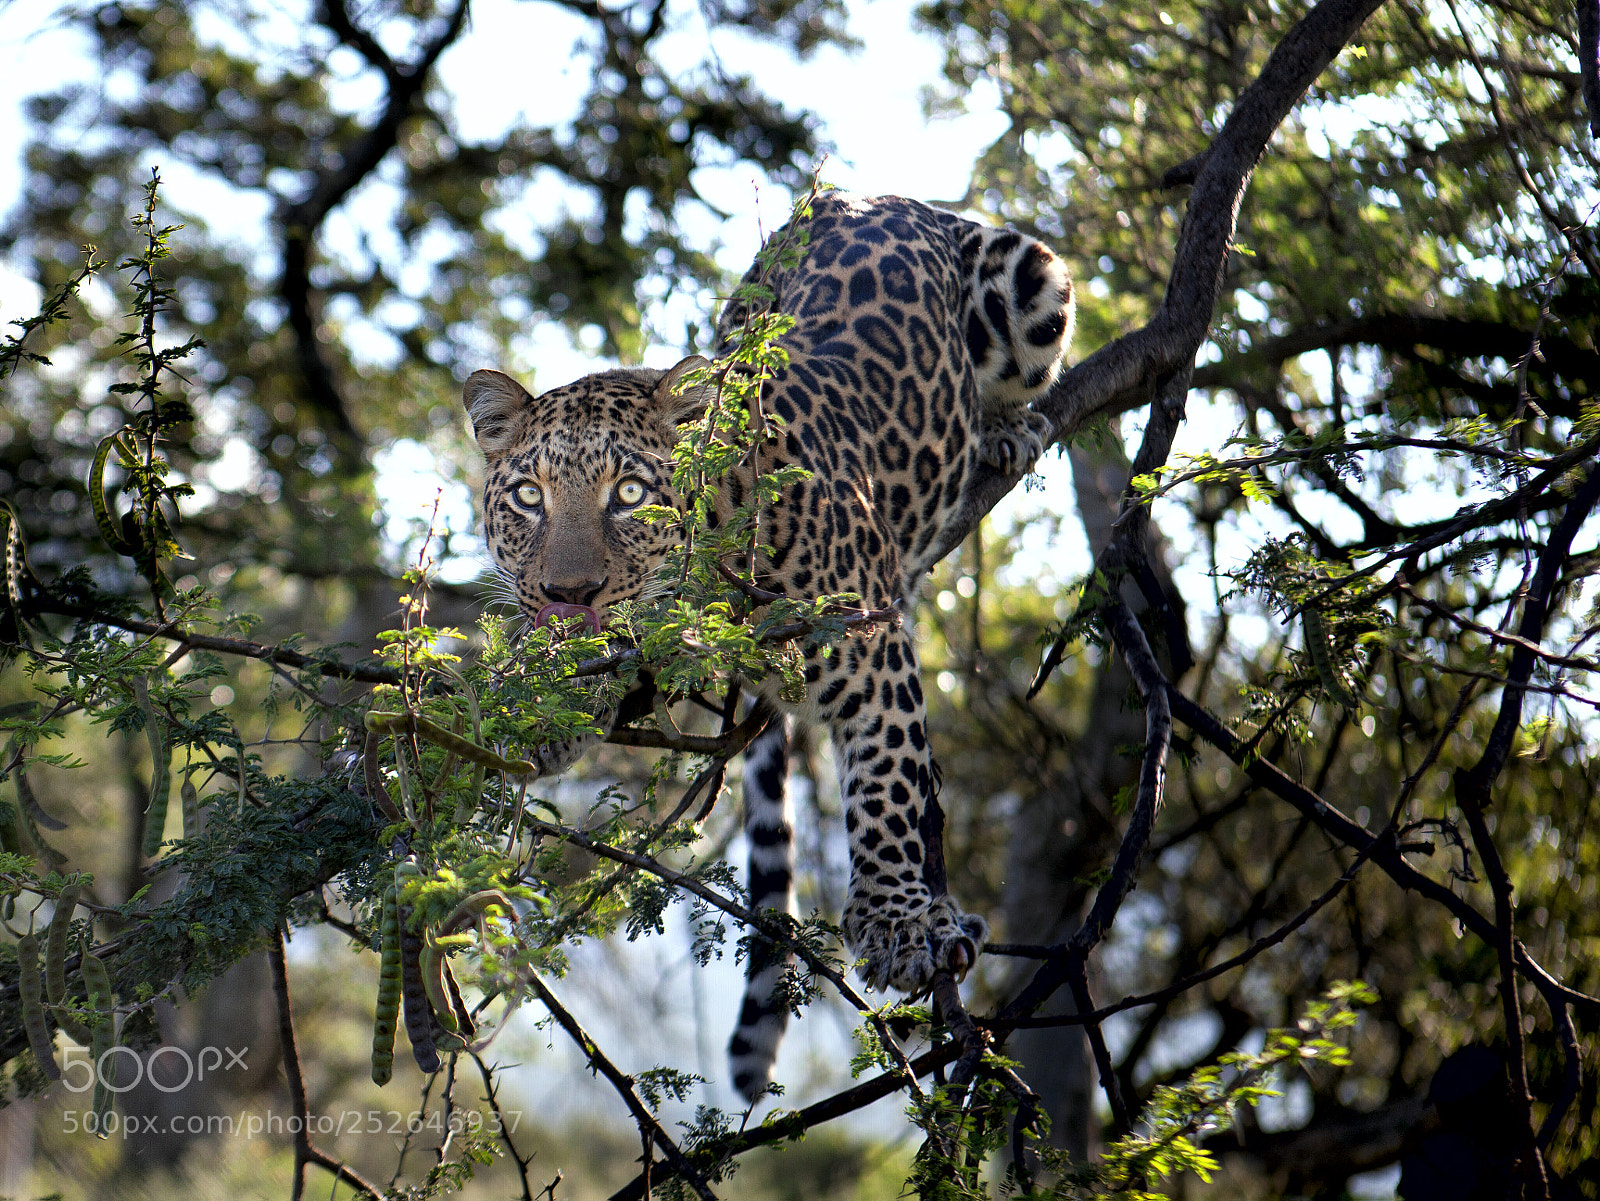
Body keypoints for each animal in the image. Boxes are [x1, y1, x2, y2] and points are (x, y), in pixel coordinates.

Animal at [461, 192, 1074, 1102]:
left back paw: (1003, 431)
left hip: (1028, 273)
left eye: (629, 494)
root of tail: (875, 196)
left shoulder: (869, 643)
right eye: (529, 498)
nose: (570, 594)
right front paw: (523, 710)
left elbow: (889, 783)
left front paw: (896, 922)